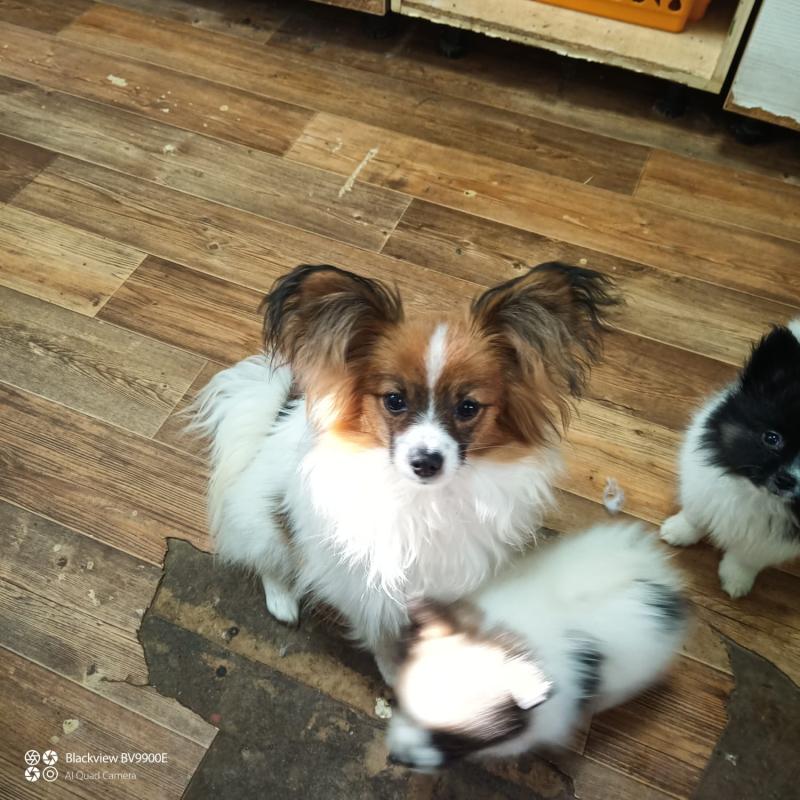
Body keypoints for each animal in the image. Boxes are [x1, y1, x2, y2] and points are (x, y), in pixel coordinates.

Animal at [191, 262, 617, 679]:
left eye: (468, 407)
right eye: (394, 400)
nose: (426, 461)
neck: (425, 500)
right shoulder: (365, 585)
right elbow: (381, 633)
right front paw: (395, 674)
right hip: (262, 522)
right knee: (268, 559)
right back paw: (282, 600)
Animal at [660, 321, 800, 598]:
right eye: (772, 438)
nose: (787, 479)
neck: (757, 496)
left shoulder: (775, 542)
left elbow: (748, 557)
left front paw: (736, 580)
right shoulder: (704, 488)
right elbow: (695, 516)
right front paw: (679, 531)